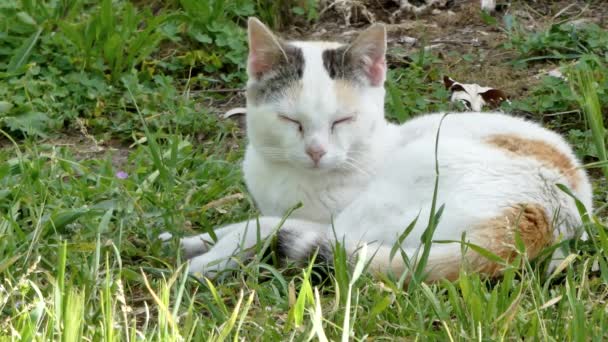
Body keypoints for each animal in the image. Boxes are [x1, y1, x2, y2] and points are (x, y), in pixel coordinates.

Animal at [177, 17, 592, 282]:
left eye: (342, 121)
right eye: (290, 121)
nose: (316, 151)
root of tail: (543, 217)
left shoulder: (324, 218)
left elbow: (263, 223)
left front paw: (210, 254)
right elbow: (251, 220)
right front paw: (187, 240)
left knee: (295, 232)